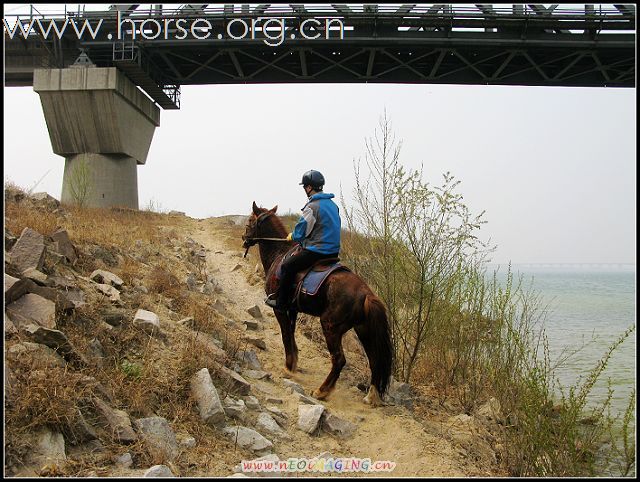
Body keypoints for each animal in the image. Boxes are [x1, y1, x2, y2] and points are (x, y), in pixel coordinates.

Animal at [241, 201, 396, 404]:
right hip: (364, 330)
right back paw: (371, 396)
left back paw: (322, 390)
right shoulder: (292, 310)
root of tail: (367, 294)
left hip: (330, 326)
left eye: (250, 221)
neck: (279, 253)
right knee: (374, 360)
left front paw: (288, 367)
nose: (244, 239)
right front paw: (293, 363)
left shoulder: (280, 309)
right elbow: (291, 335)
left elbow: (285, 335)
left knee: (339, 359)